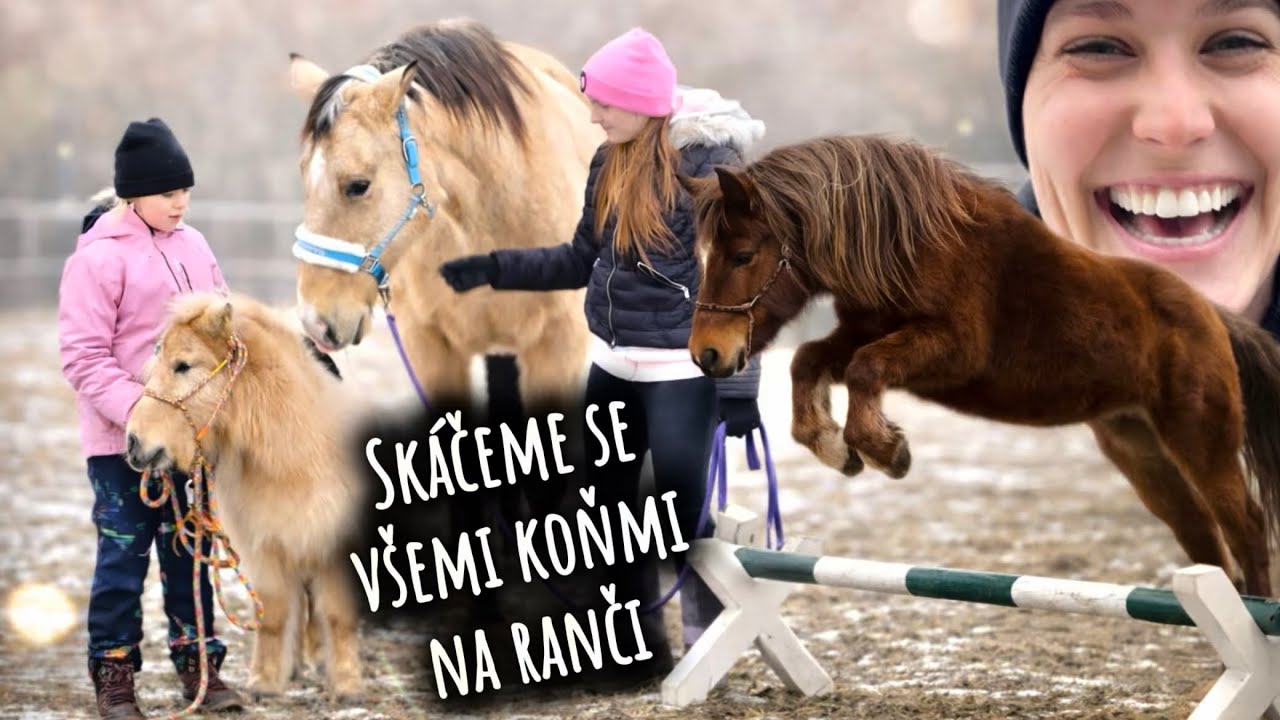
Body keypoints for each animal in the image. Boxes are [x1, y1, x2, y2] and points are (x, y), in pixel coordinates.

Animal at [124, 292, 366, 700]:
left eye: (183, 365)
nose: (133, 442)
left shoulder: (333, 542)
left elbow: (337, 615)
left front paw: (348, 685)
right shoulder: (264, 545)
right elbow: (274, 615)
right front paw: (264, 683)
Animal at [680, 134, 1280, 598]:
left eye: (743, 256)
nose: (707, 355)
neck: (909, 243)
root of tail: (1213, 313)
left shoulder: (951, 350)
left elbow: (865, 370)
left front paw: (887, 451)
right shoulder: (860, 331)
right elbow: (810, 361)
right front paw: (836, 447)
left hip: (1198, 439)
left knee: (1247, 526)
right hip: (1141, 450)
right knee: (1202, 533)